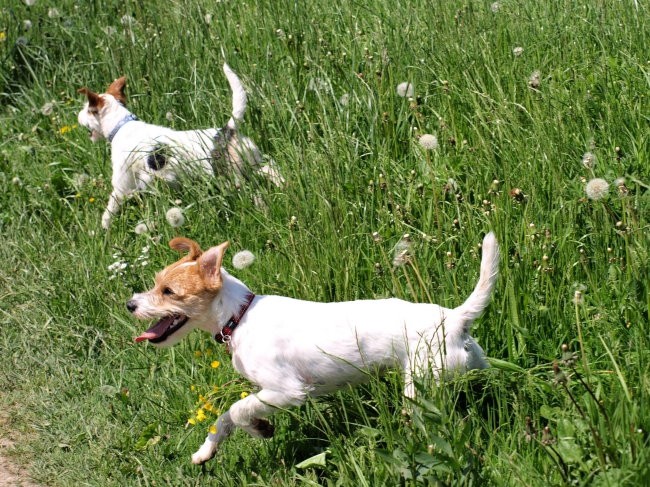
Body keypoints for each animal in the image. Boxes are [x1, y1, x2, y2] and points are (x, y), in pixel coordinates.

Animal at [77, 63, 280, 229]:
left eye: (87, 109)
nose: (78, 116)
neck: (122, 125)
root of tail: (227, 130)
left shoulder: (121, 186)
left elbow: (109, 211)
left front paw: (102, 231)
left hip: (233, 177)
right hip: (251, 164)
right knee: (271, 169)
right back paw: (282, 184)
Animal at [128, 233, 502, 466]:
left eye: (168, 291)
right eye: (157, 284)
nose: (130, 304)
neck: (239, 315)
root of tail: (455, 318)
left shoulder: (287, 391)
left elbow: (236, 410)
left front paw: (256, 428)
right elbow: (226, 419)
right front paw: (210, 450)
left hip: (421, 385)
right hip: (470, 365)